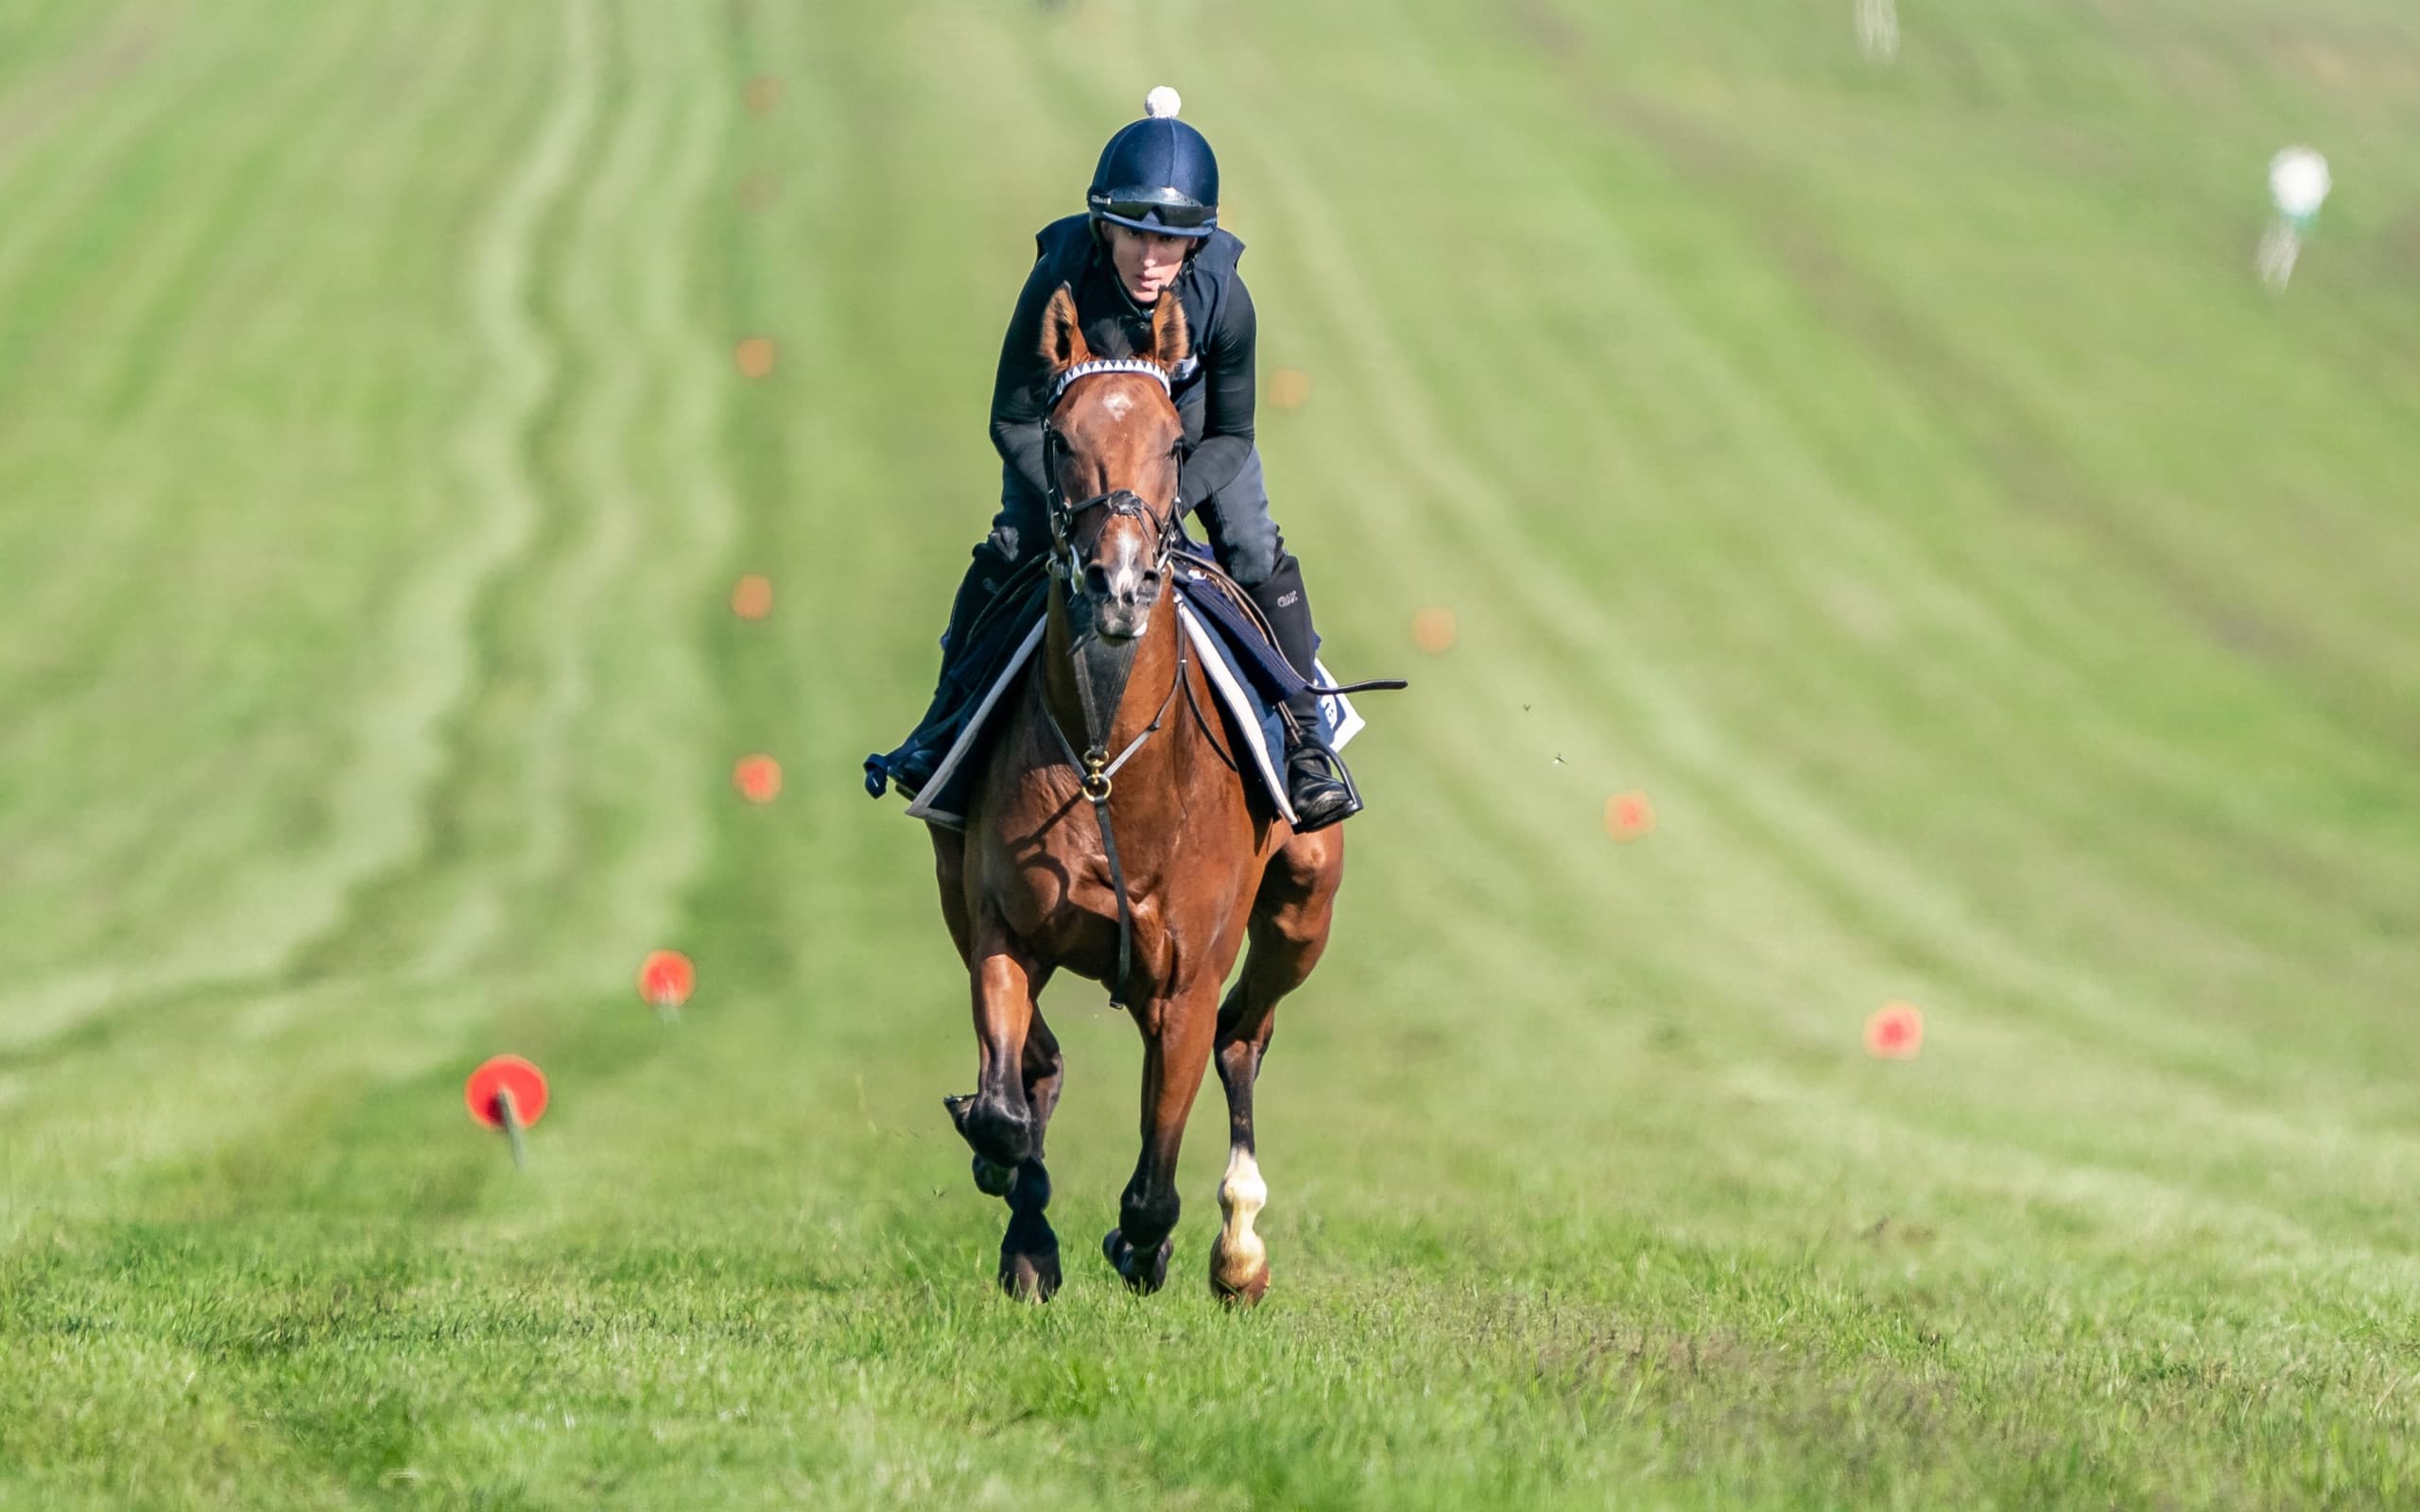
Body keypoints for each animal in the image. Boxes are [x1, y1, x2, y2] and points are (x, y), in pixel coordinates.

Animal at [928, 282, 1344, 1304]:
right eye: (1060, 437)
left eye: (1173, 443)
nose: (1118, 584)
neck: (1107, 764)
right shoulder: (1001, 926)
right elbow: (1008, 1098)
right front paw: (1016, 1198)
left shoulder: (1186, 981)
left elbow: (1156, 1173)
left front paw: (1143, 1244)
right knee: (1042, 1064)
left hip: (1302, 909)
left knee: (1242, 1039)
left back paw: (1239, 1248)